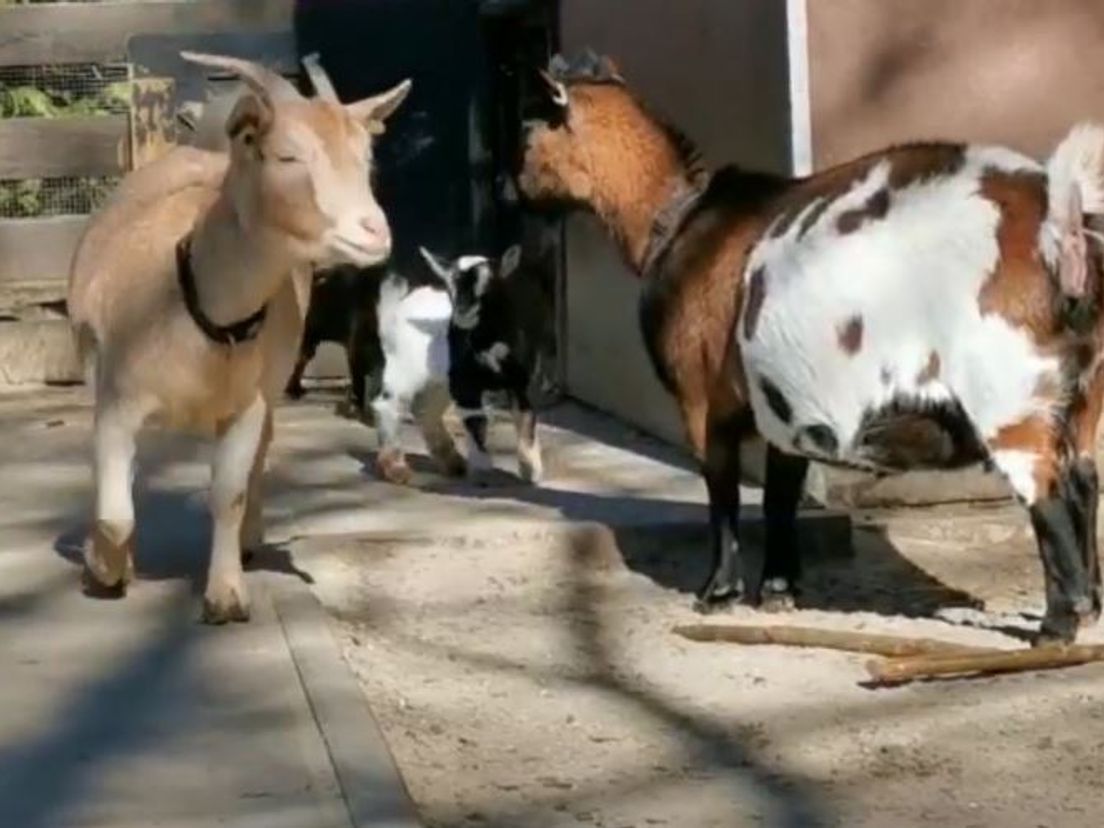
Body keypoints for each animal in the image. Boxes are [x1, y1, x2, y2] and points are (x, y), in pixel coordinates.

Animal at [70, 53, 415, 622]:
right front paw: (105, 568)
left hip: (272, 385)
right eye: (288, 155)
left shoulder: (246, 404)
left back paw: (251, 539)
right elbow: (115, 512)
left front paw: (226, 594)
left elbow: (227, 493)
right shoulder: (116, 401)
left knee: (261, 456)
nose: (374, 232)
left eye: (367, 158)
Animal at [521, 55, 1104, 644]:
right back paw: (1091, 607)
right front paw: (779, 589)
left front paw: (719, 592)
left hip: (1007, 395)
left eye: (528, 129)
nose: (512, 189)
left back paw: (1058, 624)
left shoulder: (700, 402)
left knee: (1048, 494)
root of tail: (1060, 233)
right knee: (1085, 481)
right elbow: (780, 494)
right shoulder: (785, 402)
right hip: (1086, 395)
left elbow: (723, 491)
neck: (679, 218)